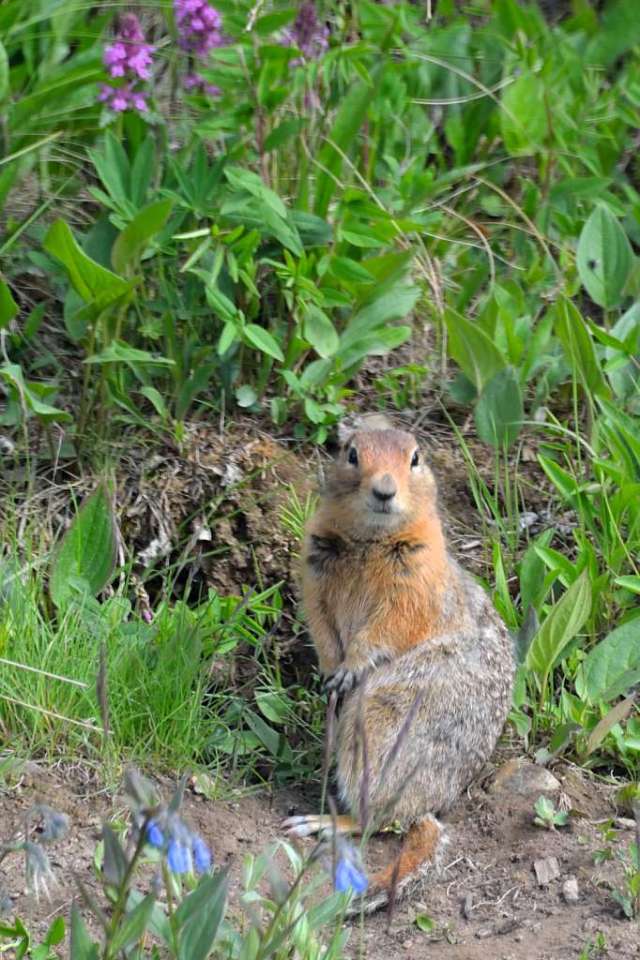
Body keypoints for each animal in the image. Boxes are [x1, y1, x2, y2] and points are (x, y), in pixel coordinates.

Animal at [283, 414, 515, 913]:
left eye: (415, 457)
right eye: (350, 453)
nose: (385, 490)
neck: (370, 539)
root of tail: (428, 806)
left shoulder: (415, 580)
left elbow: (387, 626)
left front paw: (350, 665)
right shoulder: (314, 565)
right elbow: (320, 619)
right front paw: (330, 668)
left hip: (380, 722)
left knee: (376, 820)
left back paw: (323, 821)